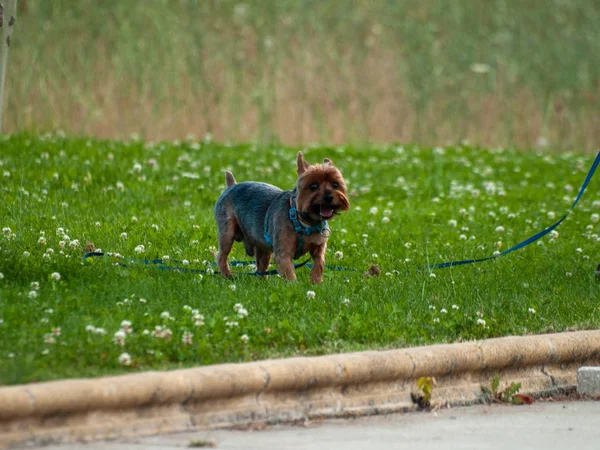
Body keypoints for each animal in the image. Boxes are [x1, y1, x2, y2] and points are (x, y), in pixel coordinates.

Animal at [213, 153, 350, 284]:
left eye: (335, 185)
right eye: (313, 186)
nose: (329, 197)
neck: (305, 222)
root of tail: (232, 185)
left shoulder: (319, 247)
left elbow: (319, 264)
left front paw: (316, 283)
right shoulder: (283, 253)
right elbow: (289, 272)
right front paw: (294, 286)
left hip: (262, 246)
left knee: (261, 265)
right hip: (227, 231)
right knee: (221, 256)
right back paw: (228, 275)